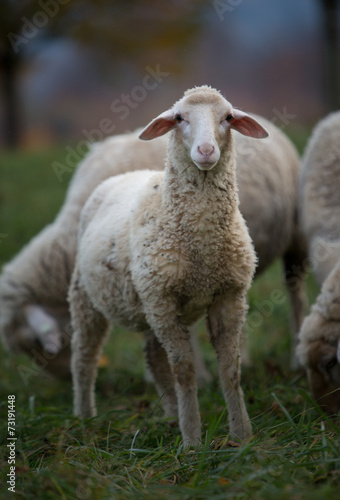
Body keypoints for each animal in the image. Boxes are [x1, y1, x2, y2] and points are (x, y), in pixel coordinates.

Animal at [0, 107, 306, 380]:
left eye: (35, 343)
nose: (64, 378)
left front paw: (199, 378)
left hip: (295, 236)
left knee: (295, 290)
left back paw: (297, 357)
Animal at [69, 86, 270, 446]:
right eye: (179, 118)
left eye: (228, 117)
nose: (206, 150)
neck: (202, 247)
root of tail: (124, 176)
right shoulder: (163, 301)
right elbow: (185, 370)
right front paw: (192, 442)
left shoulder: (229, 297)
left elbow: (230, 370)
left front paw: (241, 437)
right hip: (86, 296)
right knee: (84, 358)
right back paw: (85, 417)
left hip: (147, 306)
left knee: (155, 359)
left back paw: (170, 415)